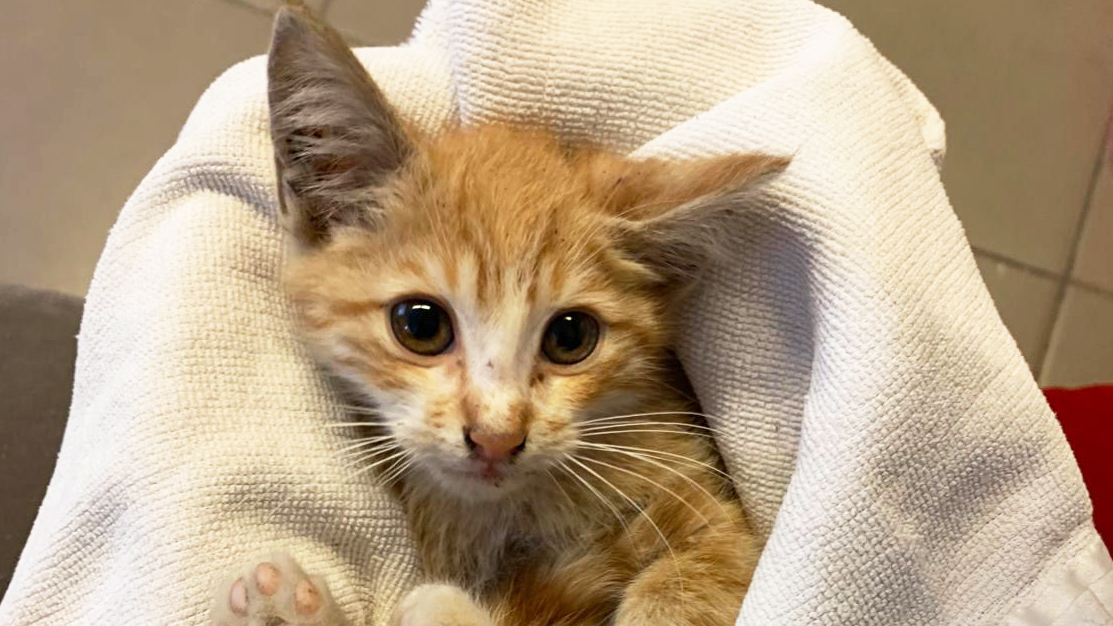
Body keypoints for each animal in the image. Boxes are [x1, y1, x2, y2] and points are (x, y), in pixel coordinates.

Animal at [209, 3, 783, 623]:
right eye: (420, 325)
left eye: (571, 337)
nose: (496, 438)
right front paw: (280, 606)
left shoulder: (710, 506)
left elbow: (694, 586)